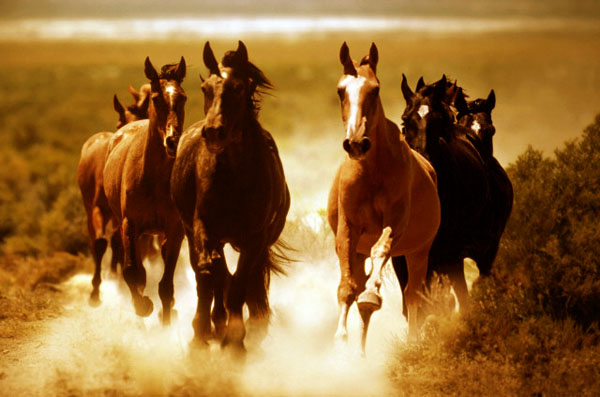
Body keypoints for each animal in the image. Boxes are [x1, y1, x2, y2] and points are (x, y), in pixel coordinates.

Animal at [77, 85, 151, 304]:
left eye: (144, 115)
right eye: (120, 121)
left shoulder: (122, 215)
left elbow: (118, 241)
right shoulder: (99, 208)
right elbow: (101, 242)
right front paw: (95, 291)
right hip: (90, 209)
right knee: (95, 240)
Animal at [103, 55, 186, 324]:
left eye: (183, 97)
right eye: (157, 98)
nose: (172, 140)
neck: (153, 179)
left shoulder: (175, 229)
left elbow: (166, 286)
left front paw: (166, 320)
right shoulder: (130, 225)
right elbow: (132, 272)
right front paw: (143, 306)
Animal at [328, 41, 440, 350]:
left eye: (375, 89)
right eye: (340, 90)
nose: (356, 143)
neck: (371, 172)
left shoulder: (394, 225)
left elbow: (380, 251)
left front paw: (371, 297)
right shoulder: (348, 230)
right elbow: (347, 287)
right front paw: (341, 338)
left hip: (418, 252)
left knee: (412, 295)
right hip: (359, 251)